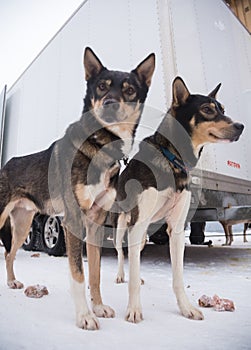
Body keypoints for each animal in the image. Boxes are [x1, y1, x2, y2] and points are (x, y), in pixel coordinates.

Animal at [0, 47, 155, 330]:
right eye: (102, 86)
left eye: (129, 90)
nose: (109, 103)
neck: (101, 145)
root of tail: (7, 165)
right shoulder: (72, 220)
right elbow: (78, 275)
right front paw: (84, 316)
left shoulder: (95, 222)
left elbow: (94, 273)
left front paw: (99, 307)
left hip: (23, 224)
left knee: (9, 254)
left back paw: (12, 281)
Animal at [113, 78, 243, 324]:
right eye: (207, 110)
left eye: (222, 109)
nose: (241, 126)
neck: (171, 160)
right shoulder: (138, 224)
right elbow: (131, 275)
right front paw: (134, 309)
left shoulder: (176, 229)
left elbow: (178, 278)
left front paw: (186, 308)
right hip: (123, 228)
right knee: (121, 254)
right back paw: (120, 275)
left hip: (141, 235)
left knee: (135, 255)